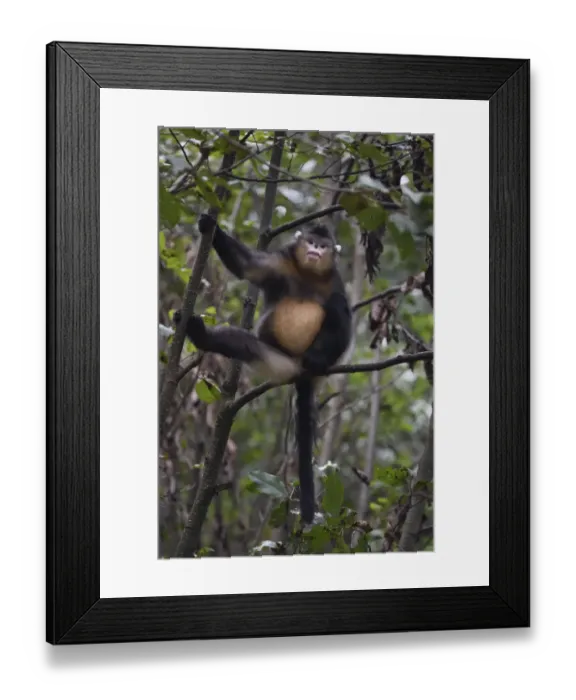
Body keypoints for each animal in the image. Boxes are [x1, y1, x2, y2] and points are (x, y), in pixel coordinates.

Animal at [174, 213, 352, 524]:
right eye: (310, 241)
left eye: (323, 245)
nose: (315, 250)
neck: (310, 274)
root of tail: (299, 371)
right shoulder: (281, 263)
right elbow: (248, 267)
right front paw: (210, 226)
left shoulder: (336, 281)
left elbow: (343, 318)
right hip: (278, 361)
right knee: (244, 344)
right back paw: (201, 334)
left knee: (336, 311)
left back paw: (315, 360)